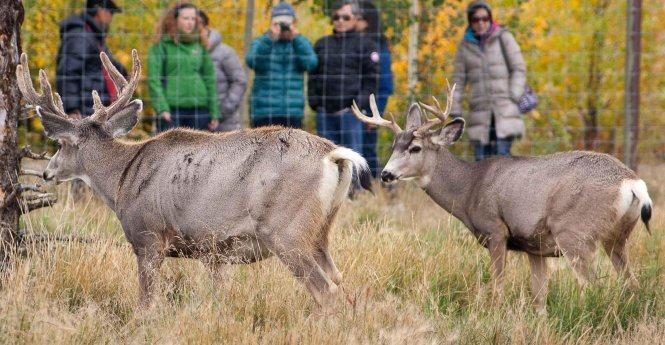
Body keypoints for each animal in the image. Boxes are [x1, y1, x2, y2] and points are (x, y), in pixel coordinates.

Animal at [15, 49, 370, 310]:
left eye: (61, 144)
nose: (47, 171)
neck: (121, 180)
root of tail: (333, 154)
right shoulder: (214, 253)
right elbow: (218, 295)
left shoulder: (148, 236)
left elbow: (146, 301)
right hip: (320, 231)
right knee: (340, 281)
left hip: (286, 230)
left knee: (326, 291)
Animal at [350, 85, 652, 312]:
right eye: (394, 146)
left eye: (415, 148)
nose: (386, 173)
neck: (470, 188)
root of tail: (633, 183)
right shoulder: (534, 247)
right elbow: (539, 296)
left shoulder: (496, 231)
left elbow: (497, 287)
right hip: (617, 237)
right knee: (633, 284)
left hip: (575, 233)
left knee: (592, 285)